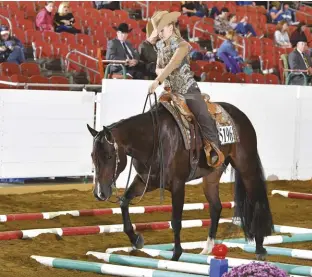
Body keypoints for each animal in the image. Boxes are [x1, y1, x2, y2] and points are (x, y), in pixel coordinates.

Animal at [87, 93, 272, 260]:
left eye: (109, 156)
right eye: (92, 156)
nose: (100, 193)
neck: (155, 139)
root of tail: (241, 115)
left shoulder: (177, 185)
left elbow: (175, 221)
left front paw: (176, 254)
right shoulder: (145, 182)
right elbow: (124, 202)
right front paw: (136, 239)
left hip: (246, 167)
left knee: (257, 201)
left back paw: (259, 247)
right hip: (212, 175)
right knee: (216, 207)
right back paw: (207, 248)